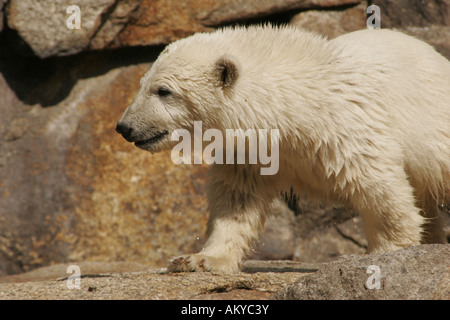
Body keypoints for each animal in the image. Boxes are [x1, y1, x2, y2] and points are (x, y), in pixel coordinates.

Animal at [117, 25, 450, 272]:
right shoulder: (249, 149)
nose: (124, 127)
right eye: (142, 84)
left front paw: (389, 255)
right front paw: (200, 259)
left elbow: (380, 192)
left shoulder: (347, 129)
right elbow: (236, 199)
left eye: (163, 91)